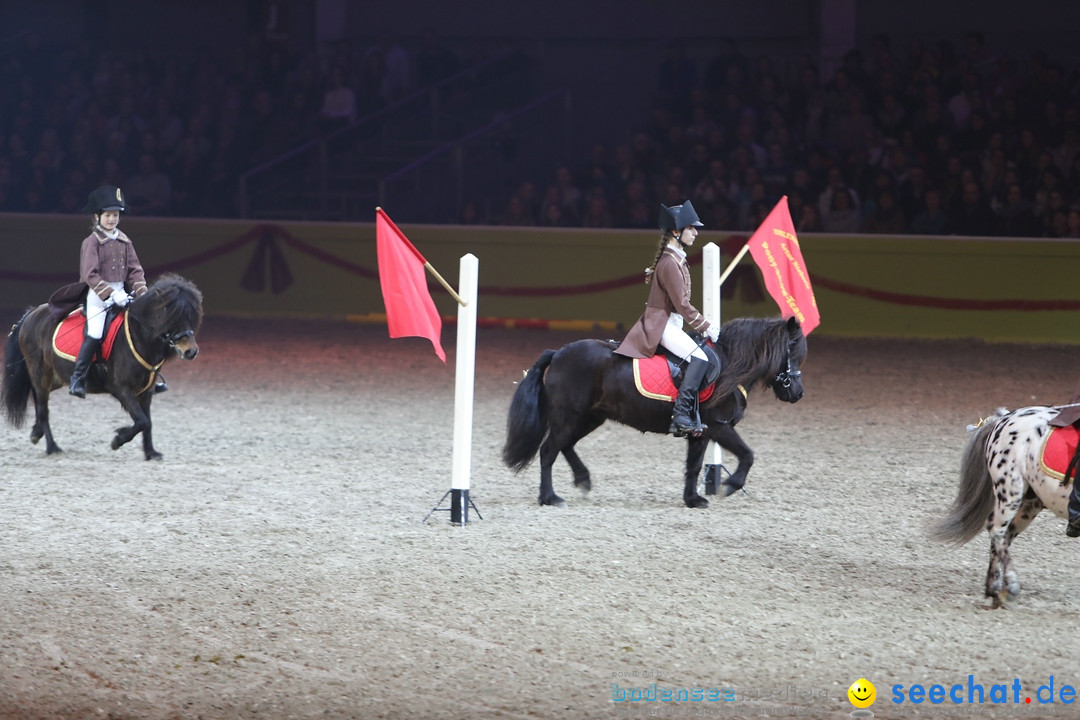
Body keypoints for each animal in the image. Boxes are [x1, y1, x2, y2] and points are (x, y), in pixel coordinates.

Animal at [2, 273, 203, 459]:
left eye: (192, 316)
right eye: (172, 314)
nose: (191, 352)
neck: (139, 336)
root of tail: (31, 314)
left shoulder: (147, 390)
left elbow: (148, 421)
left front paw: (151, 453)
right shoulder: (121, 388)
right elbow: (141, 421)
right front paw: (118, 440)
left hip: (55, 377)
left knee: (38, 398)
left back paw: (36, 433)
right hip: (40, 373)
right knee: (43, 407)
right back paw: (52, 447)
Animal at [501, 315, 807, 507]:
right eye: (793, 350)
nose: (797, 393)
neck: (730, 364)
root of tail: (559, 353)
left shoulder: (701, 431)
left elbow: (694, 465)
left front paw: (693, 499)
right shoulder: (719, 426)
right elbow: (747, 454)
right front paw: (730, 485)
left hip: (590, 417)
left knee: (565, 446)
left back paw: (583, 480)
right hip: (569, 416)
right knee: (548, 451)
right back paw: (549, 497)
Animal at [928, 405, 1080, 608]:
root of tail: (1003, 419)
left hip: (1029, 503)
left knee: (1005, 534)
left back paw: (995, 589)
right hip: (1010, 491)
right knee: (997, 529)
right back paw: (1009, 586)